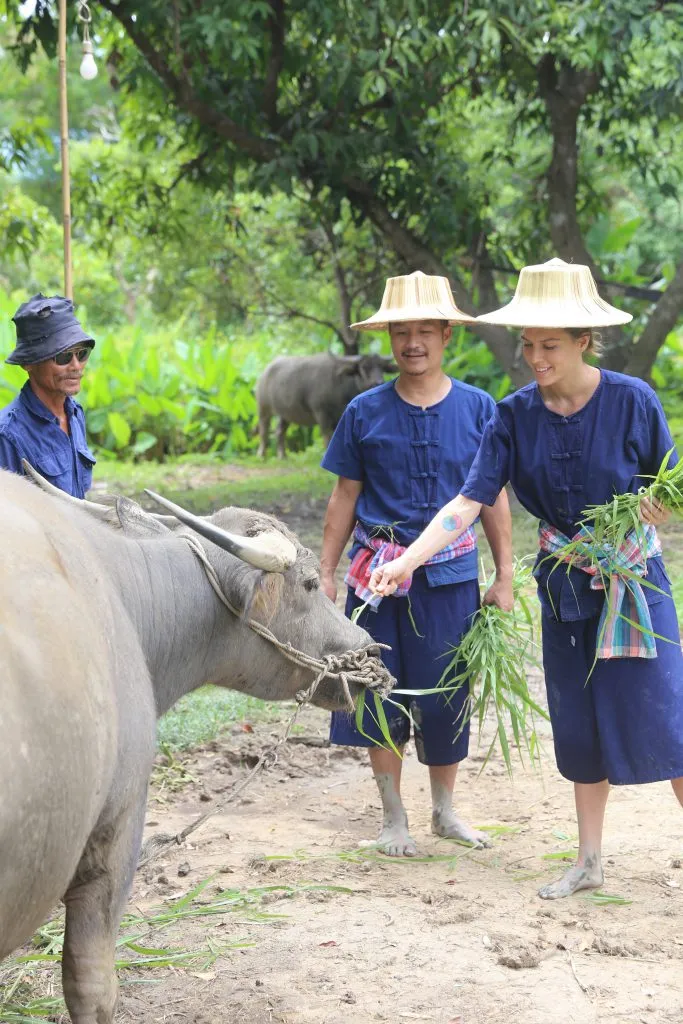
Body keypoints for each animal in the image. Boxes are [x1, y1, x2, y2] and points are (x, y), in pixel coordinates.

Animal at [256, 352, 396, 457]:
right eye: (364, 367)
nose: (378, 382)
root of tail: (265, 372)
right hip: (263, 408)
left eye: (382, 367)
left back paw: (282, 456)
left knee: (280, 431)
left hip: (285, 414)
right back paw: (262, 455)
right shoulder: (321, 412)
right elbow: (326, 433)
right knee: (264, 429)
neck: (341, 386)